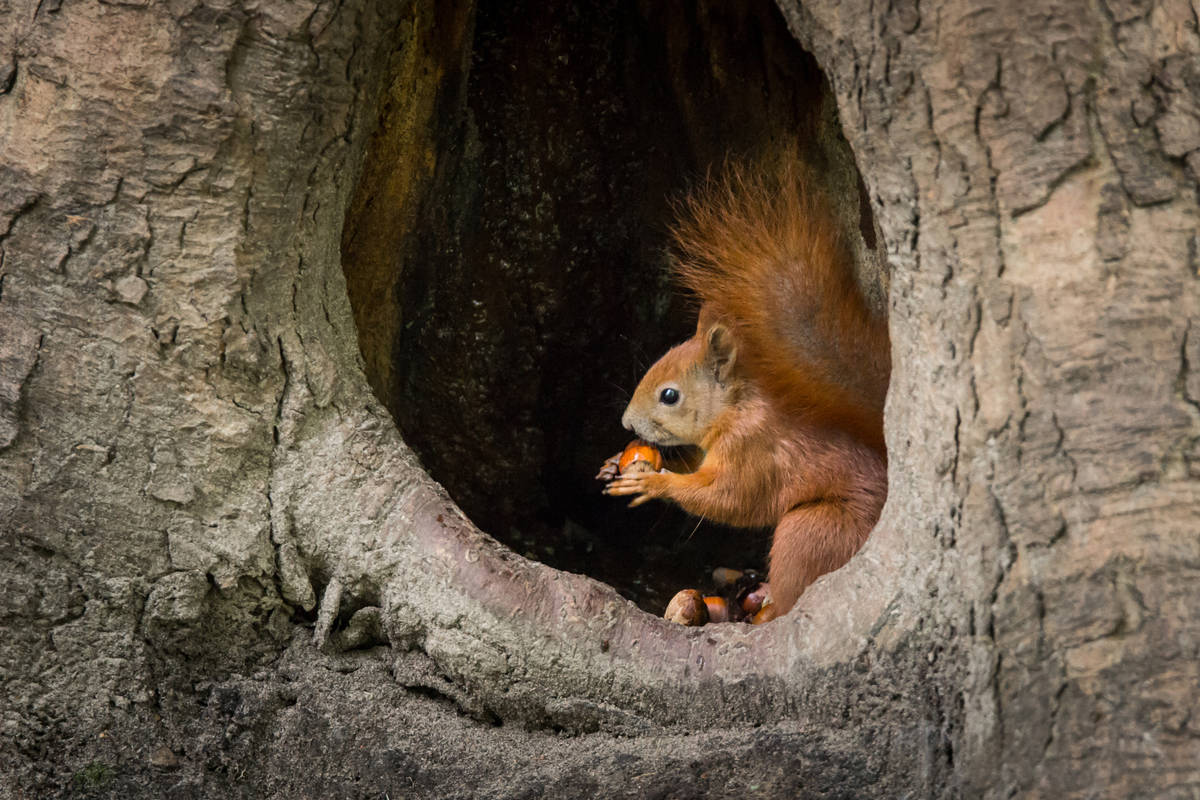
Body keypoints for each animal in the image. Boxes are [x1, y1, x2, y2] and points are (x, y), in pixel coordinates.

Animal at [600, 155, 892, 618]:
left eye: (670, 395)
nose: (627, 424)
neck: (735, 410)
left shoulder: (754, 450)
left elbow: (726, 498)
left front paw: (652, 484)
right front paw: (615, 461)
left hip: (811, 531)